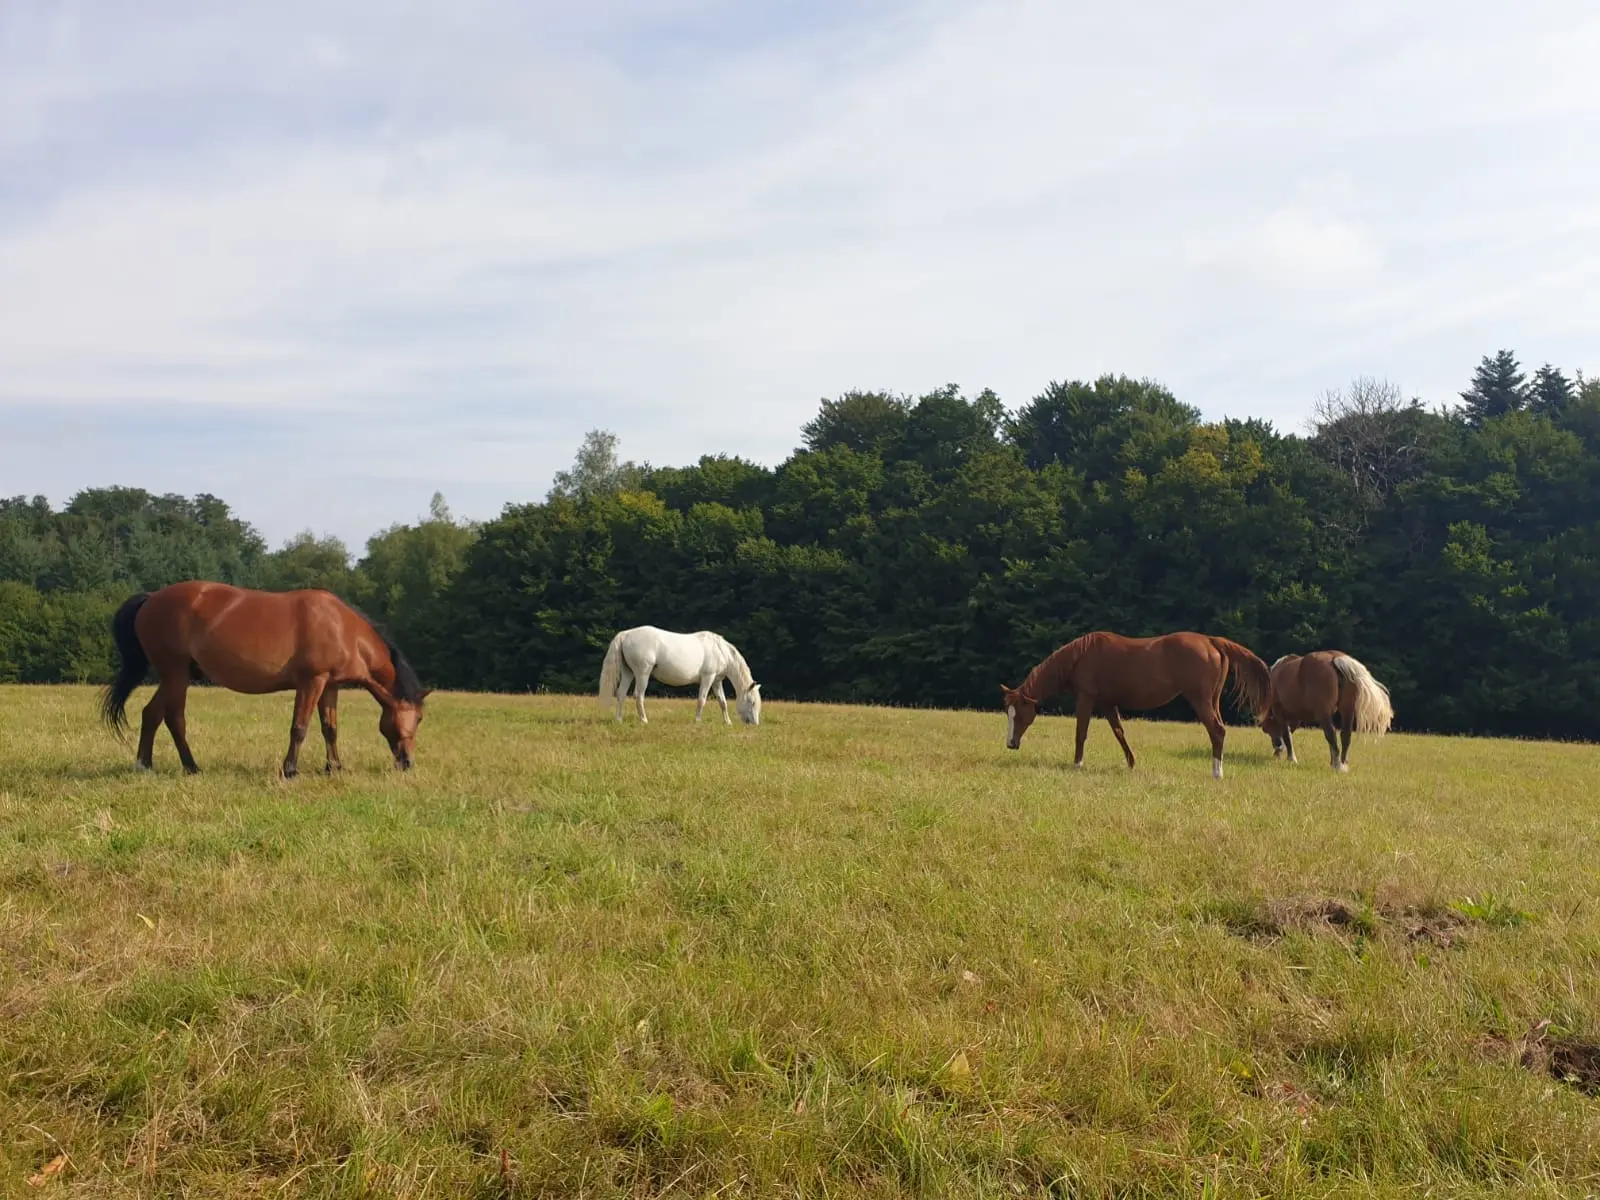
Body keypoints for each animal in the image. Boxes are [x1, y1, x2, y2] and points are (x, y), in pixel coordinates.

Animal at [104, 582, 435, 780]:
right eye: (418, 718)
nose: (407, 762)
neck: (342, 628)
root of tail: (151, 598)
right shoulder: (311, 682)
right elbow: (299, 728)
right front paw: (290, 770)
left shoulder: (330, 685)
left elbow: (330, 729)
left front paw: (334, 767)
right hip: (175, 674)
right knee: (173, 718)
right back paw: (185, 766)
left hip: (176, 675)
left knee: (153, 714)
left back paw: (150, 764)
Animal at [601, 624, 761, 729]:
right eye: (752, 702)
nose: (755, 724)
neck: (720, 650)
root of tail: (625, 635)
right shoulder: (708, 678)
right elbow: (702, 700)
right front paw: (697, 721)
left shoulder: (716, 681)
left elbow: (723, 702)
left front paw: (727, 722)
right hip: (642, 674)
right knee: (638, 696)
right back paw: (644, 720)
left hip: (628, 672)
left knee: (621, 694)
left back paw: (619, 720)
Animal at [998, 630, 1273, 780]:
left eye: (1018, 714)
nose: (1010, 744)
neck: (1081, 656)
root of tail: (1210, 641)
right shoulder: (1107, 704)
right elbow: (1119, 732)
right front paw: (1131, 763)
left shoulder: (1086, 698)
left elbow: (1081, 733)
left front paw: (1077, 764)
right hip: (1212, 700)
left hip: (1200, 699)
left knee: (1217, 731)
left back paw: (1217, 772)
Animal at [1260, 652, 1388, 774]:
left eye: (1267, 728)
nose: (1276, 746)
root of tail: (1335, 658)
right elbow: (1289, 734)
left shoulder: (1280, 713)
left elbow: (1287, 735)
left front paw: (1291, 759)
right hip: (1347, 710)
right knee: (1345, 735)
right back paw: (1342, 764)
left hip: (1323, 714)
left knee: (1331, 734)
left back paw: (1337, 766)